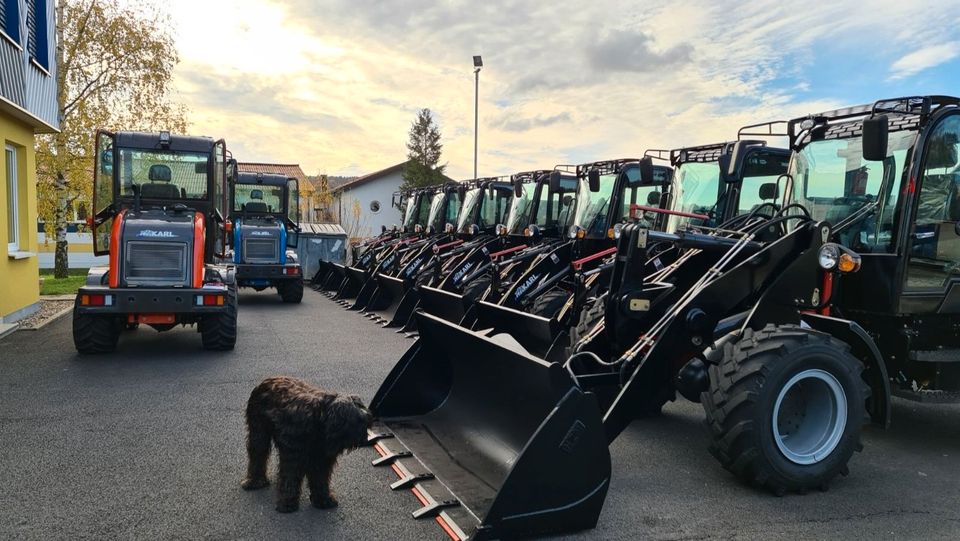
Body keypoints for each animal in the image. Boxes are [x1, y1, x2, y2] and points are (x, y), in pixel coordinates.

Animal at [240, 376, 372, 510]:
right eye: (358, 421)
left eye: (365, 421)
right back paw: (255, 481)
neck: (319, 419)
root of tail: (268, 379)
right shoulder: (293, 456)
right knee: (258, 455)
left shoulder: (321, 458)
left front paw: (323, 499)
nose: (365, 439)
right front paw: (287, 503)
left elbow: (320, 478)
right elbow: (290, 477)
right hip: (258, 431)